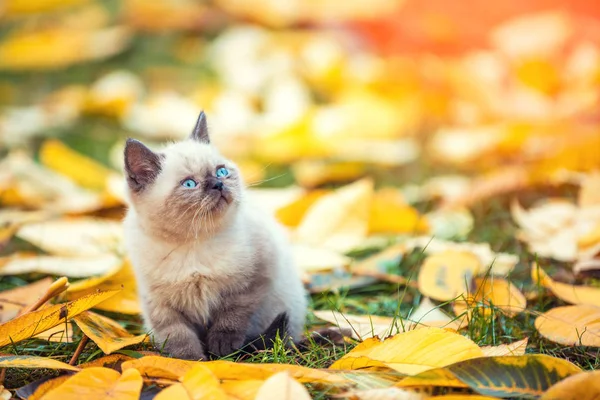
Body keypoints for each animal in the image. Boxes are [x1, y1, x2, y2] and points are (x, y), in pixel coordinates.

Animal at [123, 111, 308, 360]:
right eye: (189, 184)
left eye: (221, 171)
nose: (218, 184)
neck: (193, 244)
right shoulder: (161, 305)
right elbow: (179, 338)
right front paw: (193, 362)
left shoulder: (253, 281)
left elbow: (231, 317)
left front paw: (222, 348)